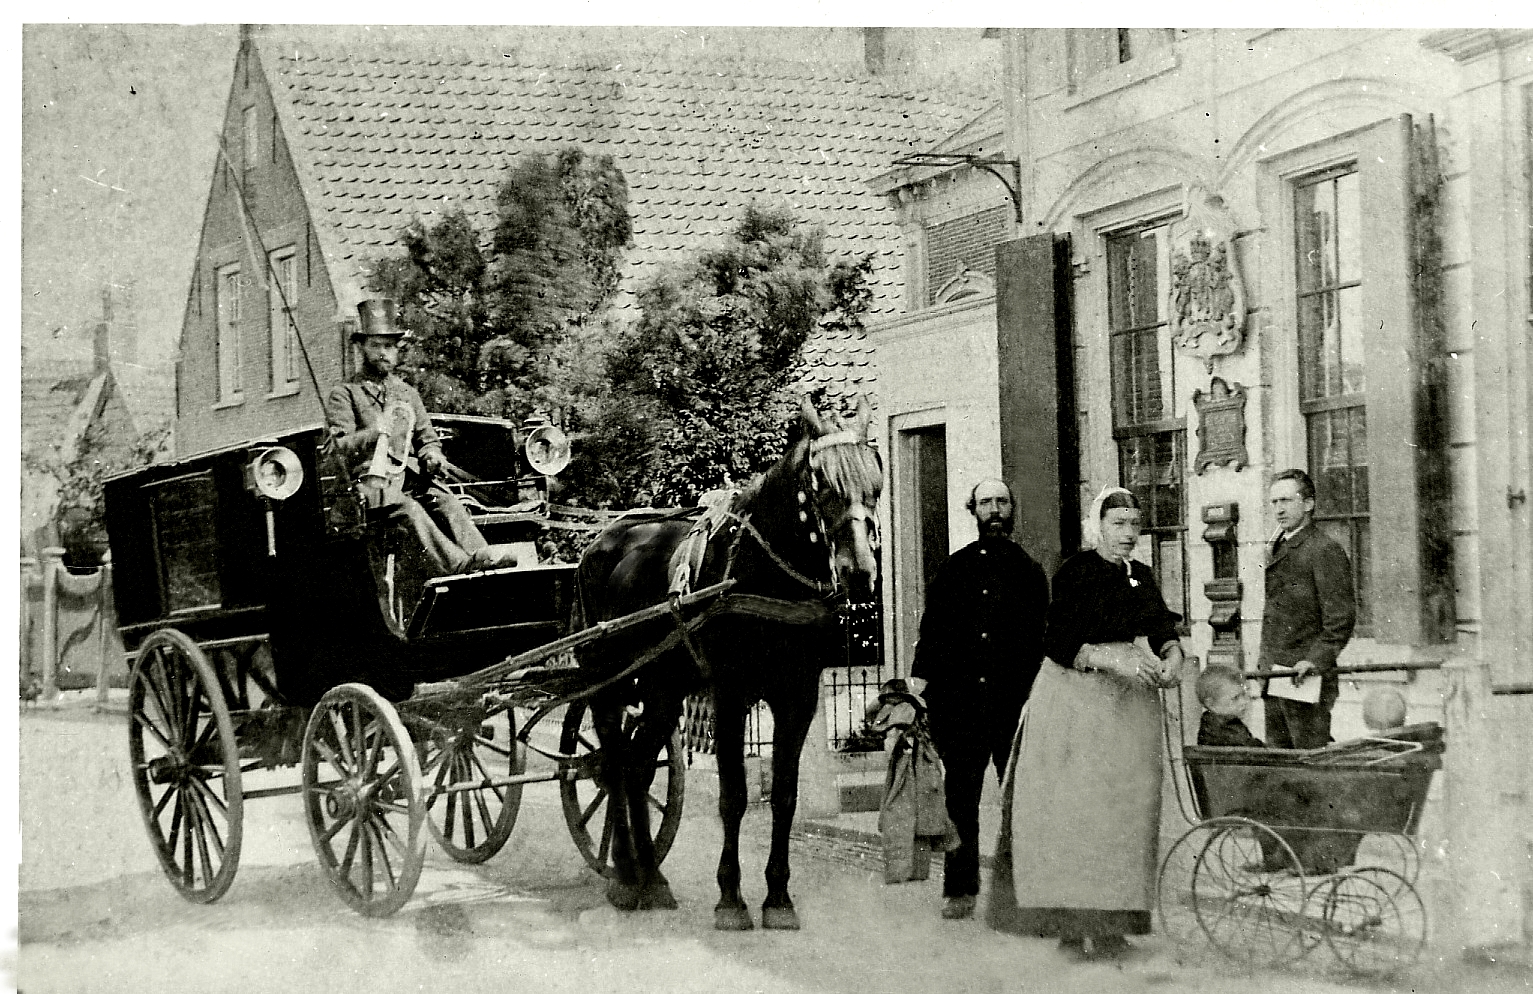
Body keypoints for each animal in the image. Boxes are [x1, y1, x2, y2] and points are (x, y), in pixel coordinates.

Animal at [573, 396, 883, 930]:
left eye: (875, 483)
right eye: (823, 484)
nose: (860, 571)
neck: (764, 575)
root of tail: (605, 538)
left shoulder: (797, 696)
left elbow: (785, 796)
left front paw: (778, 897)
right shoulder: (731, 694)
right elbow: (734, 795)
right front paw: (731, 898)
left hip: (663, 686)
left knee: (636, 768)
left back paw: (650, 877)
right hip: (609, 681)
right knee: (614, 763)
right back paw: (626, 876)